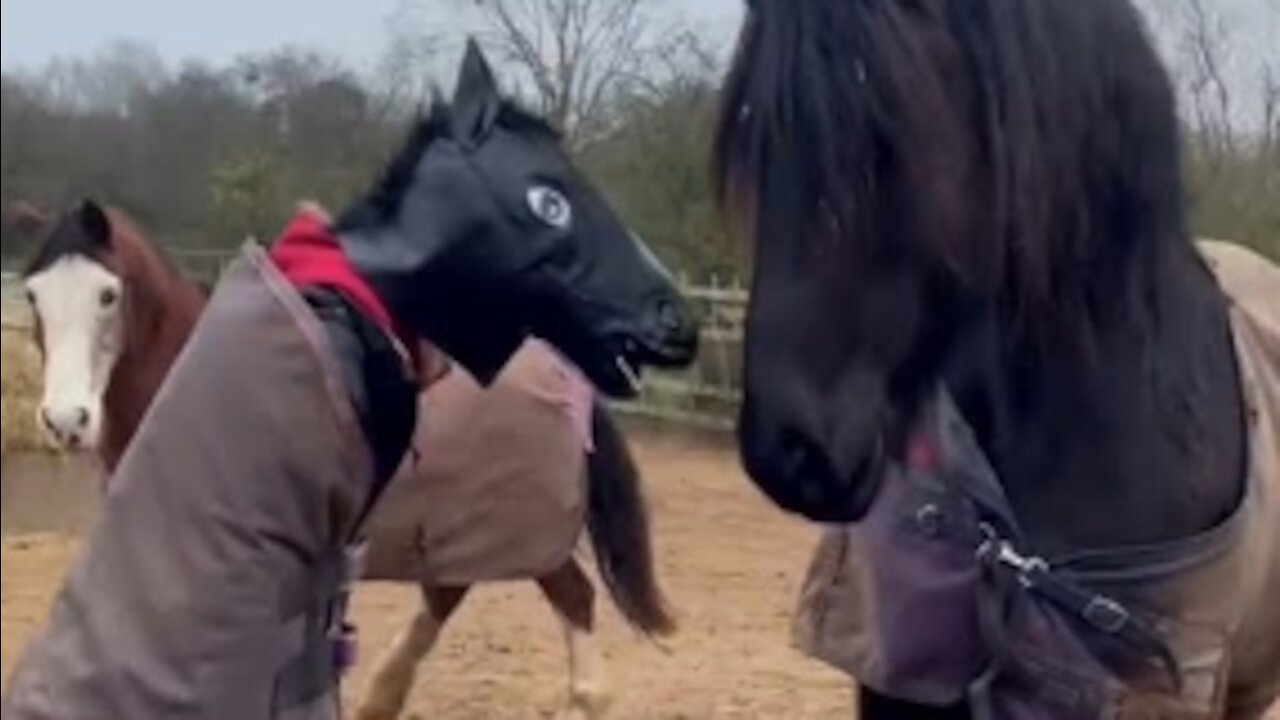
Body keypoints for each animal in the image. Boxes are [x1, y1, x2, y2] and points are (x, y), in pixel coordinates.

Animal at [24, 197, 675, 717]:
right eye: (32, 297)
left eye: (108, 294)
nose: (66, 421)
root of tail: (565, 375)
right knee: (444, 599)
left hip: (528, 534)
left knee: (575, 614)